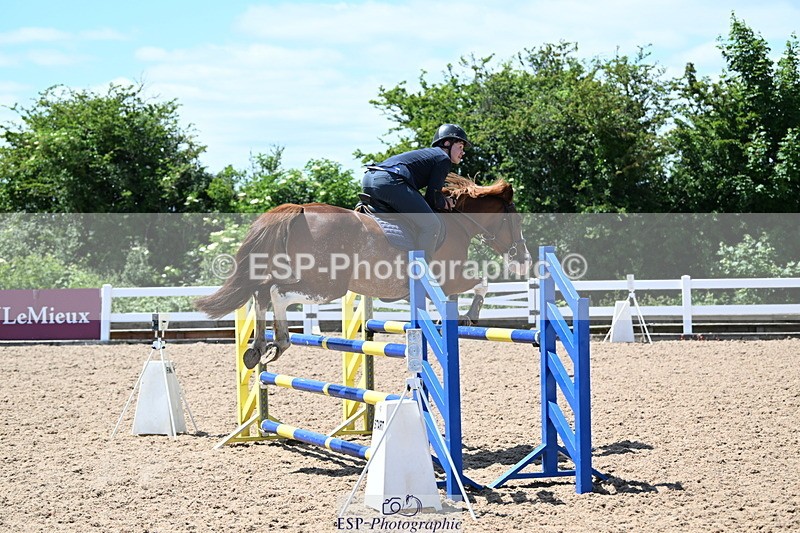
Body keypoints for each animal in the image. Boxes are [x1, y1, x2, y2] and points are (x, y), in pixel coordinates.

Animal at [195, 173, 530, 369]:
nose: (524, 259)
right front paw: (470, 315)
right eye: (515, 219)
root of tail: (299, 209)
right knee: (275, 292)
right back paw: (280, 341)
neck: (458, 223)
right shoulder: (450, 280)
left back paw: (258, 348)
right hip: (328, 285)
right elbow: (482, 283)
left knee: (261, 291)